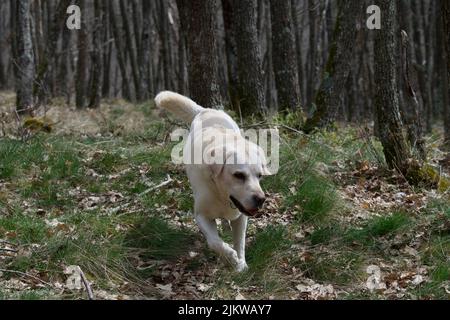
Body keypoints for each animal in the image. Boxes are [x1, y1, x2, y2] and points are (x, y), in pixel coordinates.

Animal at [156, 91, 270, 272]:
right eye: (239, 175)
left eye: (259, 176)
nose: (261, 200)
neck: (221, 193)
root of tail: (205, 110)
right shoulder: (201, 215)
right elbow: (215, 242)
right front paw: (230, 257)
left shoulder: (241, 216)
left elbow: (240, 243)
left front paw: (241, 264)